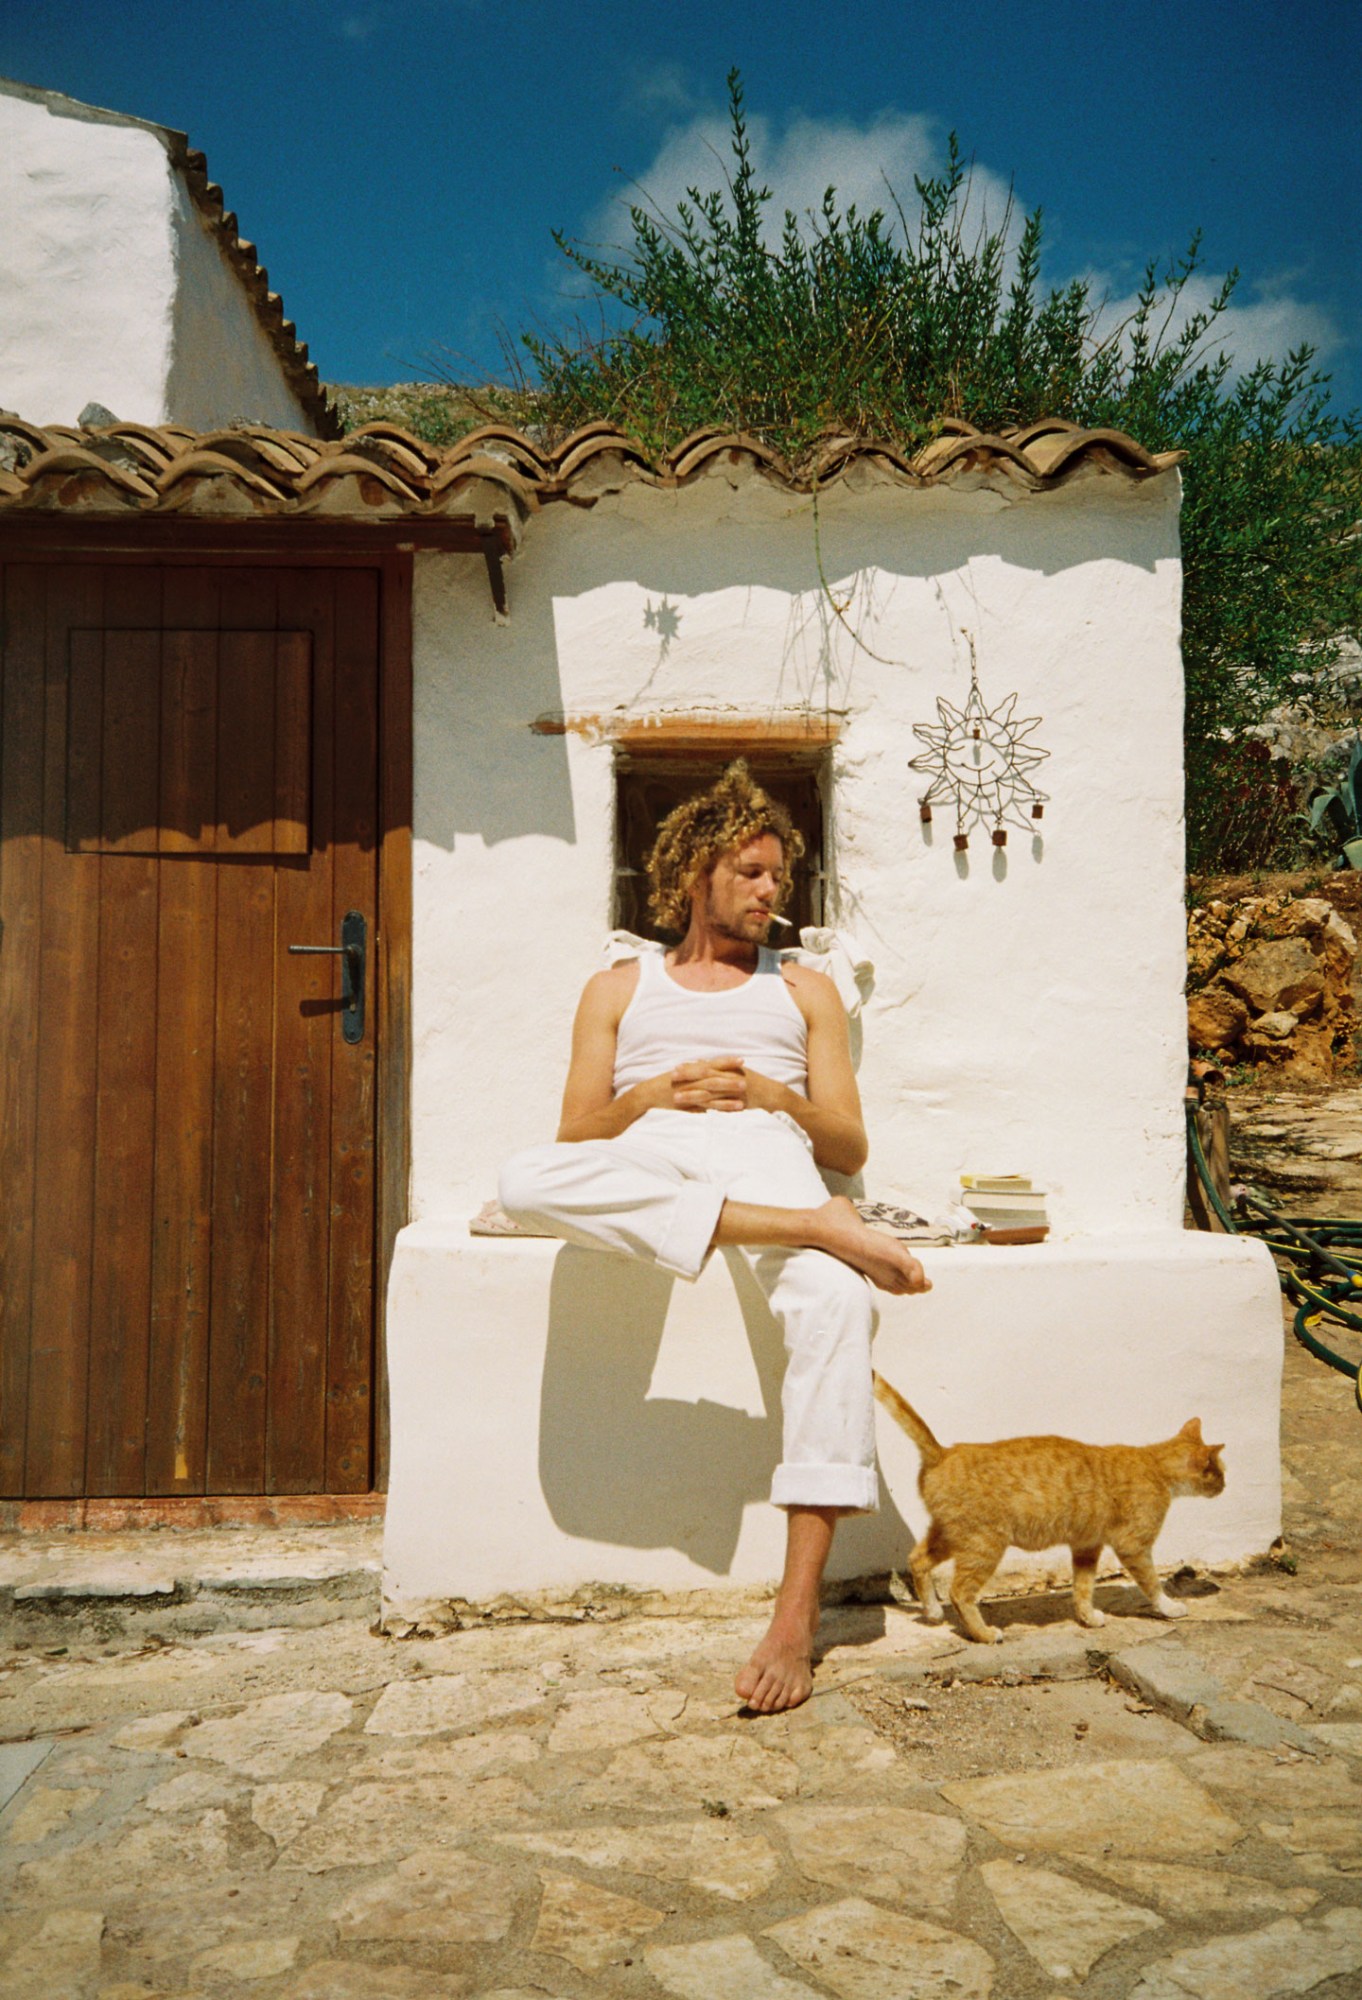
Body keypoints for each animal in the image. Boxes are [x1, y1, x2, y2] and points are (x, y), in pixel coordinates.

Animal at [876, 1376, 1224, 1640]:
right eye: (1220, 1471)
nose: (1225, 1485)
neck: (1154, 1465)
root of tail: (944, 1452)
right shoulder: (1133, 1546)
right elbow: (1152, 1584)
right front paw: (1170, 1607)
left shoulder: (1086, 1546)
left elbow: (1083, 1589)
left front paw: (1087, 1617)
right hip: (983, 1545)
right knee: (960, 1592)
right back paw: (984, 1634)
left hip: (951, 1536)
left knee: (917, 1560)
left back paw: (933, 1611)